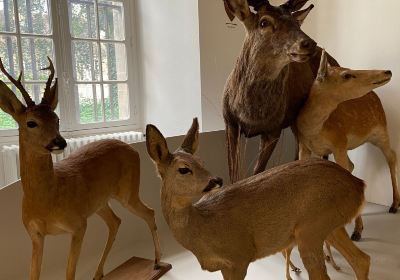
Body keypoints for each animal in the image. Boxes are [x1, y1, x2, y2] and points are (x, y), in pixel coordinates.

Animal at [0, 56, 162, 278]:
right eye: (30, 122)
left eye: (56, 118)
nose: (59, 142)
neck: (46, 200)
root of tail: (133, 149)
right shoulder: (35, 234)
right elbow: (34, 273)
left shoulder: (78, 225)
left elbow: (70, 273)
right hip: (100, 203)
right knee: (116, 221)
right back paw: (98, 273)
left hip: (128, 193)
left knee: (149, 212)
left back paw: (157, 262)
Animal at [148, 117, 372, 280]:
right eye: (184, 169)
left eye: (201, 161)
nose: (216, 180)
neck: (203, 227)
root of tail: (358, 185)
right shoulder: (225, 265)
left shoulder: (239, 256)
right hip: (330, 225)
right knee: (362, 260)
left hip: (311, 229)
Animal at [296, 49, 396, 242]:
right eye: (346, 75)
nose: (388, 71)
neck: (314, 129)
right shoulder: (304, 146)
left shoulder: (339, 142)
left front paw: (357, 231)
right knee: (353, 165)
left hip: (381, 131)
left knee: (392, 157)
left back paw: (394, 206)